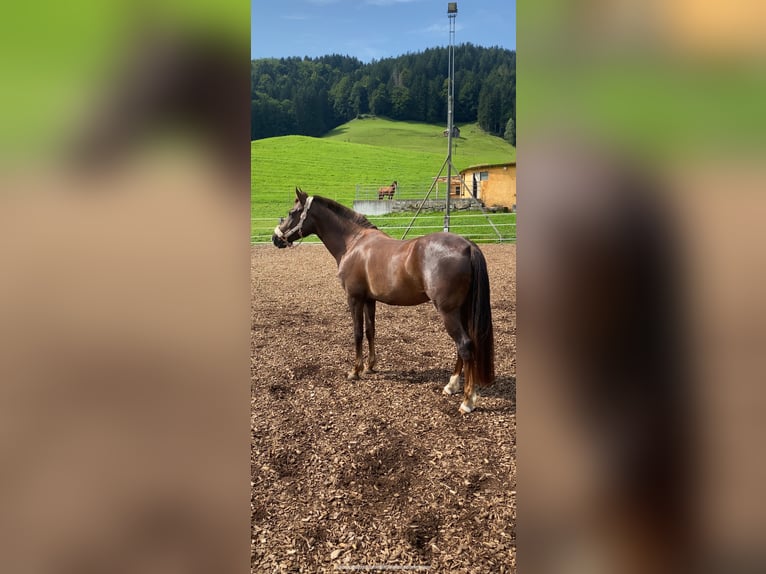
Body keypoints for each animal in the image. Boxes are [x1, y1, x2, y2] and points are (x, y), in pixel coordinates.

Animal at [272, 189, 496, 414]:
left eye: (292, 212)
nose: (275, 238)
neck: (353, 242)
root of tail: (468, 246)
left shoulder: (354, 298)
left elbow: (357, 333)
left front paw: (355, 371)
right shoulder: (370, 300)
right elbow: (370, 331)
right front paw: (370, 366)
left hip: (448, 312)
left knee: (464, 345)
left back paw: (467, 401)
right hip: (462, 311)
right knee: (464, 346)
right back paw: (451, 386)